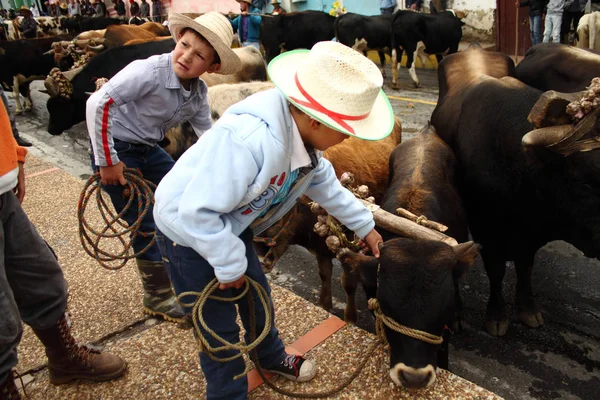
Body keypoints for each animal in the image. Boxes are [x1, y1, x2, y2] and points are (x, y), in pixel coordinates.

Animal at [434, 49, 600, 338]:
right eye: (586, 183)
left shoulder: (530, 235)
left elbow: (525, 267)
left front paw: (528, 309)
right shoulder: (486, 230)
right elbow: (496, 269)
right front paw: (496, 316)